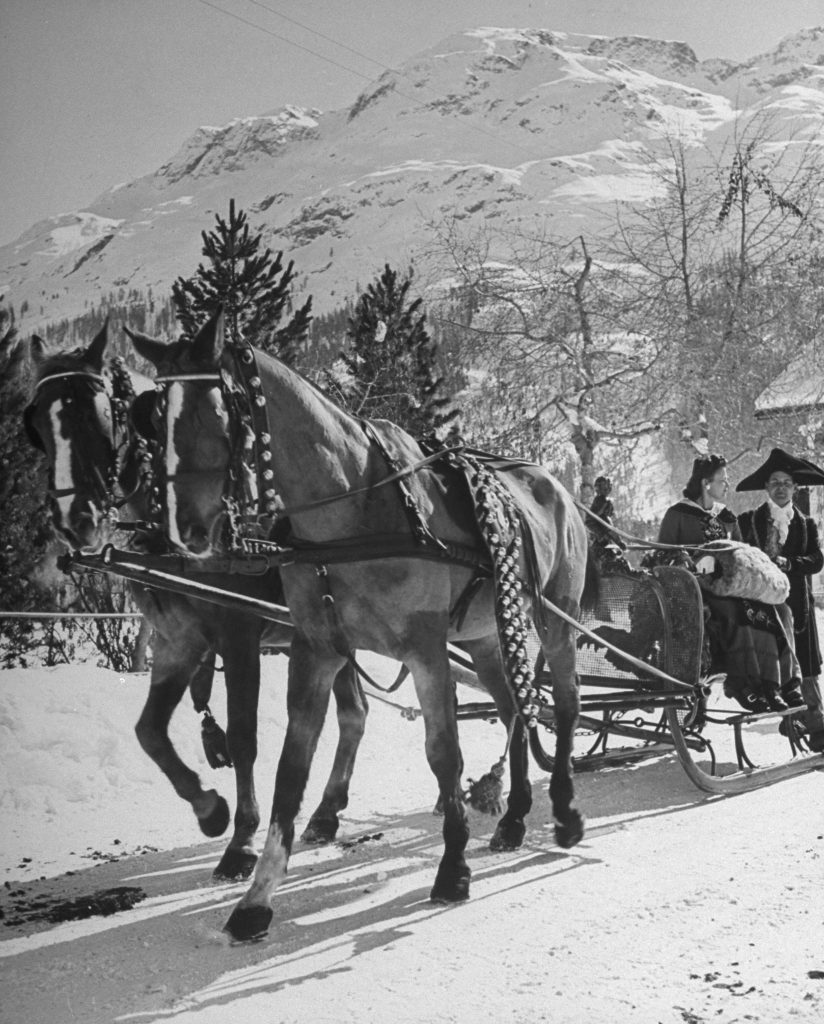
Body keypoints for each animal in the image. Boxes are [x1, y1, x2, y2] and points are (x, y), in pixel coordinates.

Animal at [24, 321, 366, 880]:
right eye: (35, 423)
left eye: (96, 414)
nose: (76, 521)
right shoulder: (177, 641)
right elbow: (149, 732)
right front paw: (209, 809)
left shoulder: (239, 636)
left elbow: (244, 739)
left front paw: (242, 841)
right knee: (356, 712)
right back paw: (326, 812)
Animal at [126, 309, 589, 942]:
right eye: (155, 419)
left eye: (215, 410)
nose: (185, 532)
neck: (354, 513)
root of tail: (556, 485)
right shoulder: (315, 649)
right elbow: (289, 768)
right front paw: (257, 895)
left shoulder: (423, 649)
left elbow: (443, 754)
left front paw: (452, 868)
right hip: (487, 635)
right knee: (516, 706)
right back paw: (515, 817)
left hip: (553, 620)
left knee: (563, 705)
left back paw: (565, 811)